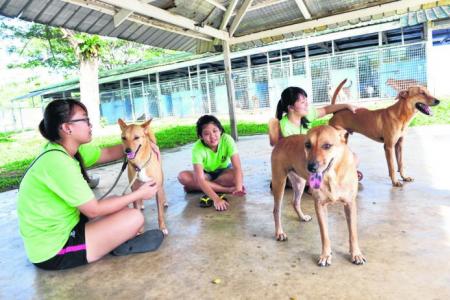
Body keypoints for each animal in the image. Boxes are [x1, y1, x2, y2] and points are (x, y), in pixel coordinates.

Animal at [270, 125, 366, 266]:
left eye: (327, 146)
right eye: (307, 145)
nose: (311, 167)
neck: (332, 175)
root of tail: (282, 140)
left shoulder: (350, 204)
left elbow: (353, 233)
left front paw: (356, 254)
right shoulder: (320, 205)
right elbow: (324, 234)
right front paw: (325, 255)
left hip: (300, 182)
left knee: (295, 202)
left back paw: (302, 217)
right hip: (279, 182)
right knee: (276, 210)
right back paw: (279, 233)